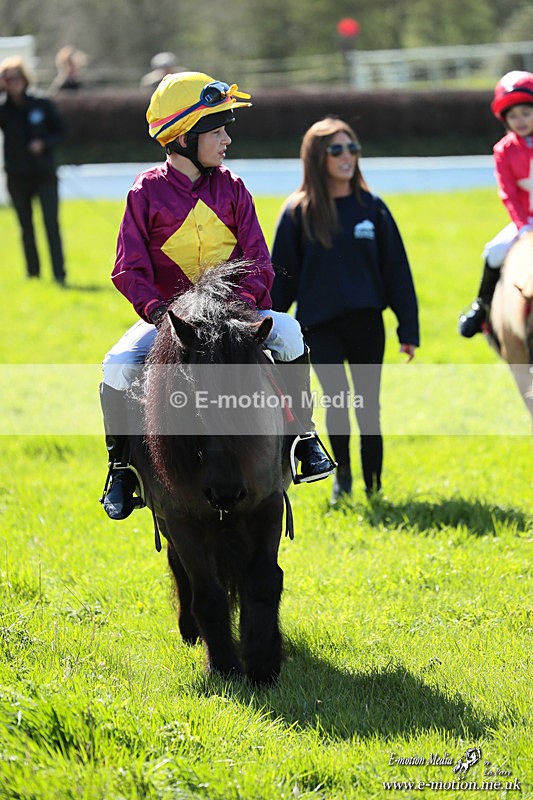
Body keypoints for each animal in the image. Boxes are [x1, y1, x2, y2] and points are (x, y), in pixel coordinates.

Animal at [128, 263, 293, 684]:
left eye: (254, 401)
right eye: (188, 404)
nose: (225, 494)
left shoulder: (267, 505)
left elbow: (263, 580)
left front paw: (263, 661)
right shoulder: (181, 518)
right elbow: (208, 593)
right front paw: (224, 665)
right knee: (181, 570)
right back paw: (191, 631)